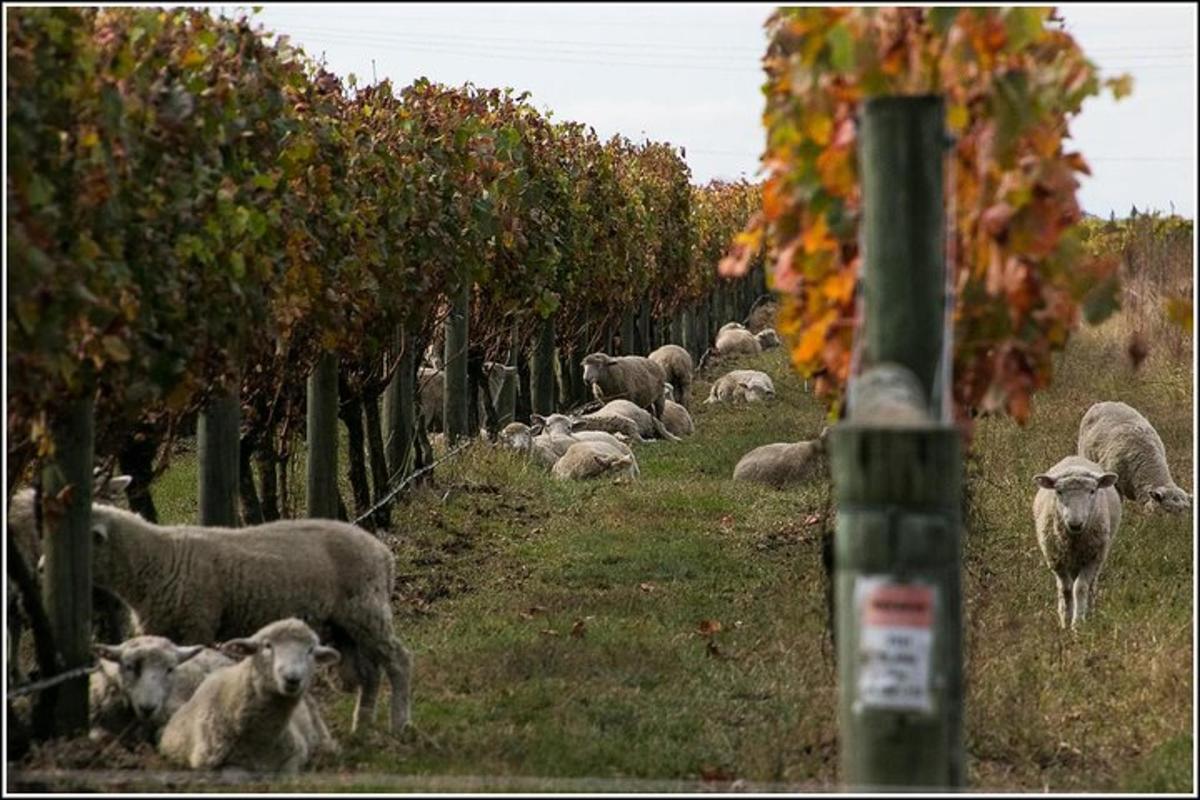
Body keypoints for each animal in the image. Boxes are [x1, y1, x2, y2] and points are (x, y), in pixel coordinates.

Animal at [5, 484, 412, 734]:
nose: (40, 568)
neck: (156, 560)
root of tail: (384, 554)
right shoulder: (159, 627)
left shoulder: (197, 621)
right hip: (345, 627)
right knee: (371, 673)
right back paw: (362, 727)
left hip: (366, 610)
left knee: (398, 661)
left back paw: (400, 724)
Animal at [1032, 455, 1123, 633]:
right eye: (1059, 491)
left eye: (1092, 491)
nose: (1075, 524)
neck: (1074, 539)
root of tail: (1075, 458)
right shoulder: (1056, 559)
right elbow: (1066, 589)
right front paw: (1066, 621)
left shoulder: (1093, 557)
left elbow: (1080, 587)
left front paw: (1078, 624)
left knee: (1091, 585)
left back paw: (1090, 613)